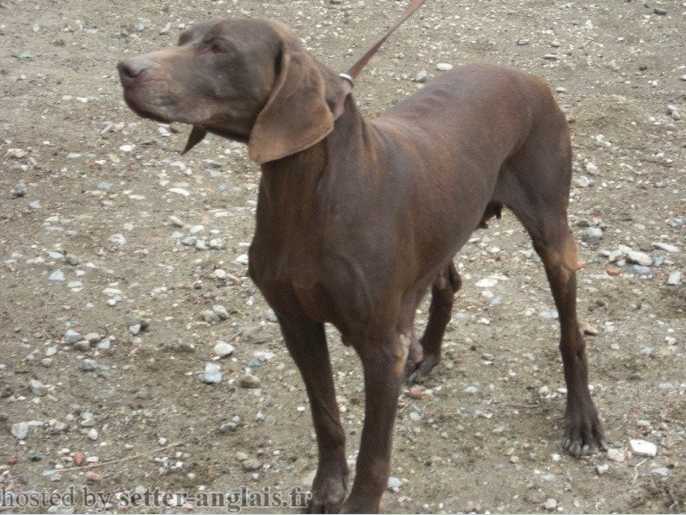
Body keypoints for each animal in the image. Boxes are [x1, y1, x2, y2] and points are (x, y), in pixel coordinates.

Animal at [118, 14, 608, 512]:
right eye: (183, 39)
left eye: (219, 48)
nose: (126, 69)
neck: (307, 194)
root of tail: (528, 77)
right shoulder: (297, 324)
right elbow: (326, 416)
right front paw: (328, 486)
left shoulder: (379, 347)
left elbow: (374, 453)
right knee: (446, 284)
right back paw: (427, 352)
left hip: (552, 234)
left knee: (570, 333)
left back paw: (581, 419)